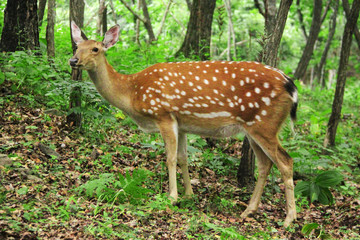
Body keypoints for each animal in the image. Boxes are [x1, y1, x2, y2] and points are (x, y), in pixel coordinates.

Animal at [69, 22, 298, 227]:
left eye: (96, 49)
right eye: (76, 46)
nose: (73, 60)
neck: (132, 92)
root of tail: (291, 86)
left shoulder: (164, 114)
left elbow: (170, 158)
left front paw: (172, 197)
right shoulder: (182, 124)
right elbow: (183, 158)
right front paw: (188, 194)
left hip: (265, 124)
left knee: (286, 161)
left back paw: (289, 219)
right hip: (253, 128)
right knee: (265, 164)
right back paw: (249, 210)